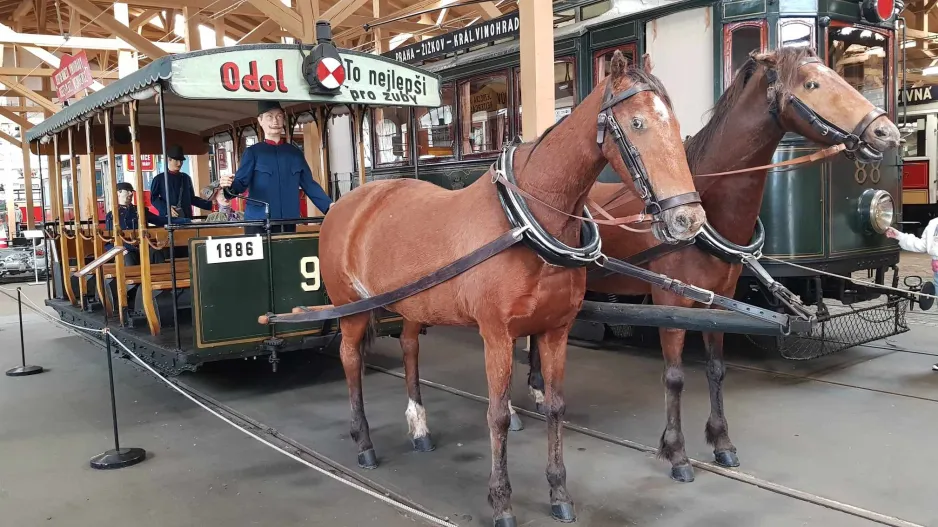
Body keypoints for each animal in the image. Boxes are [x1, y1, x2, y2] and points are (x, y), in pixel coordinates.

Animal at [318, 53, 704, 527]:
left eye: (675, 121)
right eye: (637, 123)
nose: (689, 219)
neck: (524, 218)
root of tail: (348, 202)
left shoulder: (556, 331)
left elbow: (555, 406)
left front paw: (559, 491)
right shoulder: (497, 336)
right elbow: (498, 416)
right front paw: (501, 501)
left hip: (412, 304)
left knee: (409, 349)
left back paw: (419, 428)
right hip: (351, 309)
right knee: (351, 361)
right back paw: (364, 442)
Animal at [528, 47, 900, 484]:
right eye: (812, 84)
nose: (888, 133)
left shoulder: (719, 300)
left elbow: (716, 369)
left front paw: (722, 442)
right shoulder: (670, 301)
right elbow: (674, 377)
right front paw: (677, 453)